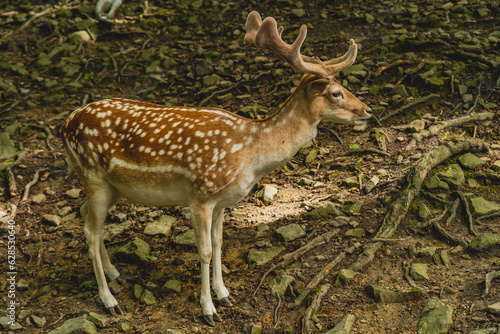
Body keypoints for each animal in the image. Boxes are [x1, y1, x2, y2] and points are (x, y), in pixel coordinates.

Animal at [60, 10, 372, 326]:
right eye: (336, 93)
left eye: (345, 87)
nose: (368, 111)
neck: (249, 156)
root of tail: (66, 123)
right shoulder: (200, 194)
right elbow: (205, 250)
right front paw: (208, 309)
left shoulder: (222, 200)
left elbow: (220, 243)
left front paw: (224, 294)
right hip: (92, 173)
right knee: (90, 231)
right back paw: (108, 300)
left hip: (113, 186)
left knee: (87, 217)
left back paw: (116, 275)